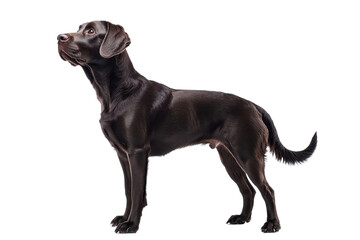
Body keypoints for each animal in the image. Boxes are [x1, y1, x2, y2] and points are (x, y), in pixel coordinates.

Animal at [57, 21, 318, 233]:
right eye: (79, 28)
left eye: (91, 31)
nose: (59, 37)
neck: (117, 93)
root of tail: (253, 105)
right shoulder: (122, 154)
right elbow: (128, 189)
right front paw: (124, 218)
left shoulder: (137, 152)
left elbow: (138, 191)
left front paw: (131, 225)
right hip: (228, 156)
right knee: (248, 190)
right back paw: (241, 218)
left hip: (248, 155)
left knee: (267, 190)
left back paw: (272, 224)